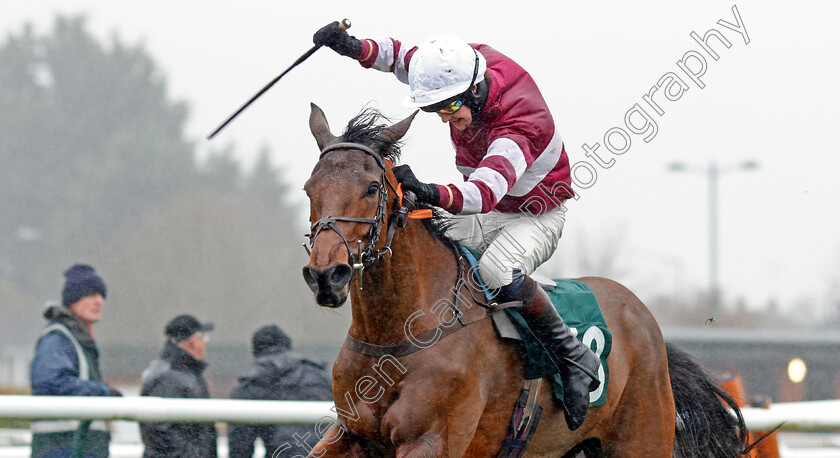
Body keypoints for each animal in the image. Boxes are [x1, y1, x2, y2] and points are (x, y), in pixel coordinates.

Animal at [302, 104, 748, 458]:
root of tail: (645, 320)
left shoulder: (431, 440)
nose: (326, 274)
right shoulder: (349, 434)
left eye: (371, 187)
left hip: (642, 438)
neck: (395, 333)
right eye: (309, 189)